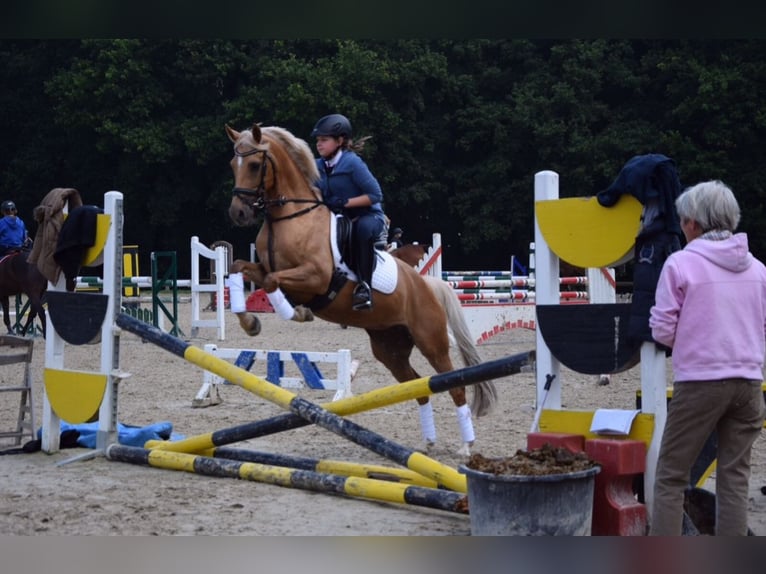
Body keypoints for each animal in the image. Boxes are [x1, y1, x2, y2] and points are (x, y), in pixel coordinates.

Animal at [224, 124, 498, 456]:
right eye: (232, 164)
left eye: (253, 165)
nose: (238, 213)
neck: (290, 218)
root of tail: (426, 284)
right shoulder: (263, 268)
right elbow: (240, 268)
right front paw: (250, 322)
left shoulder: (315, 277)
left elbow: (272, 281)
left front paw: (296, 312)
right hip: (389, 346)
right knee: (417, 385)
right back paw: (428, 443)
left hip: (431, 341)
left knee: (454, 385)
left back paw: (465, 447)